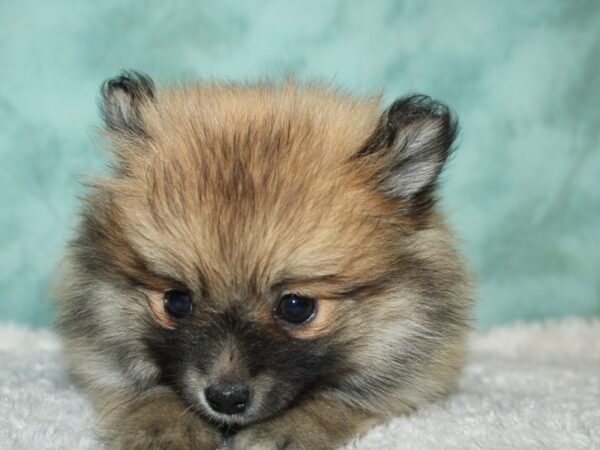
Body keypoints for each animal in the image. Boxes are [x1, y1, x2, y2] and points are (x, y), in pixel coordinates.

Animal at [58, 72, 474, 448]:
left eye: (296, 307)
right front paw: (163, 425)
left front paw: (288, 429)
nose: (225, 398)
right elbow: (145, 390)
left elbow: (338, 399)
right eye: (176, 301)